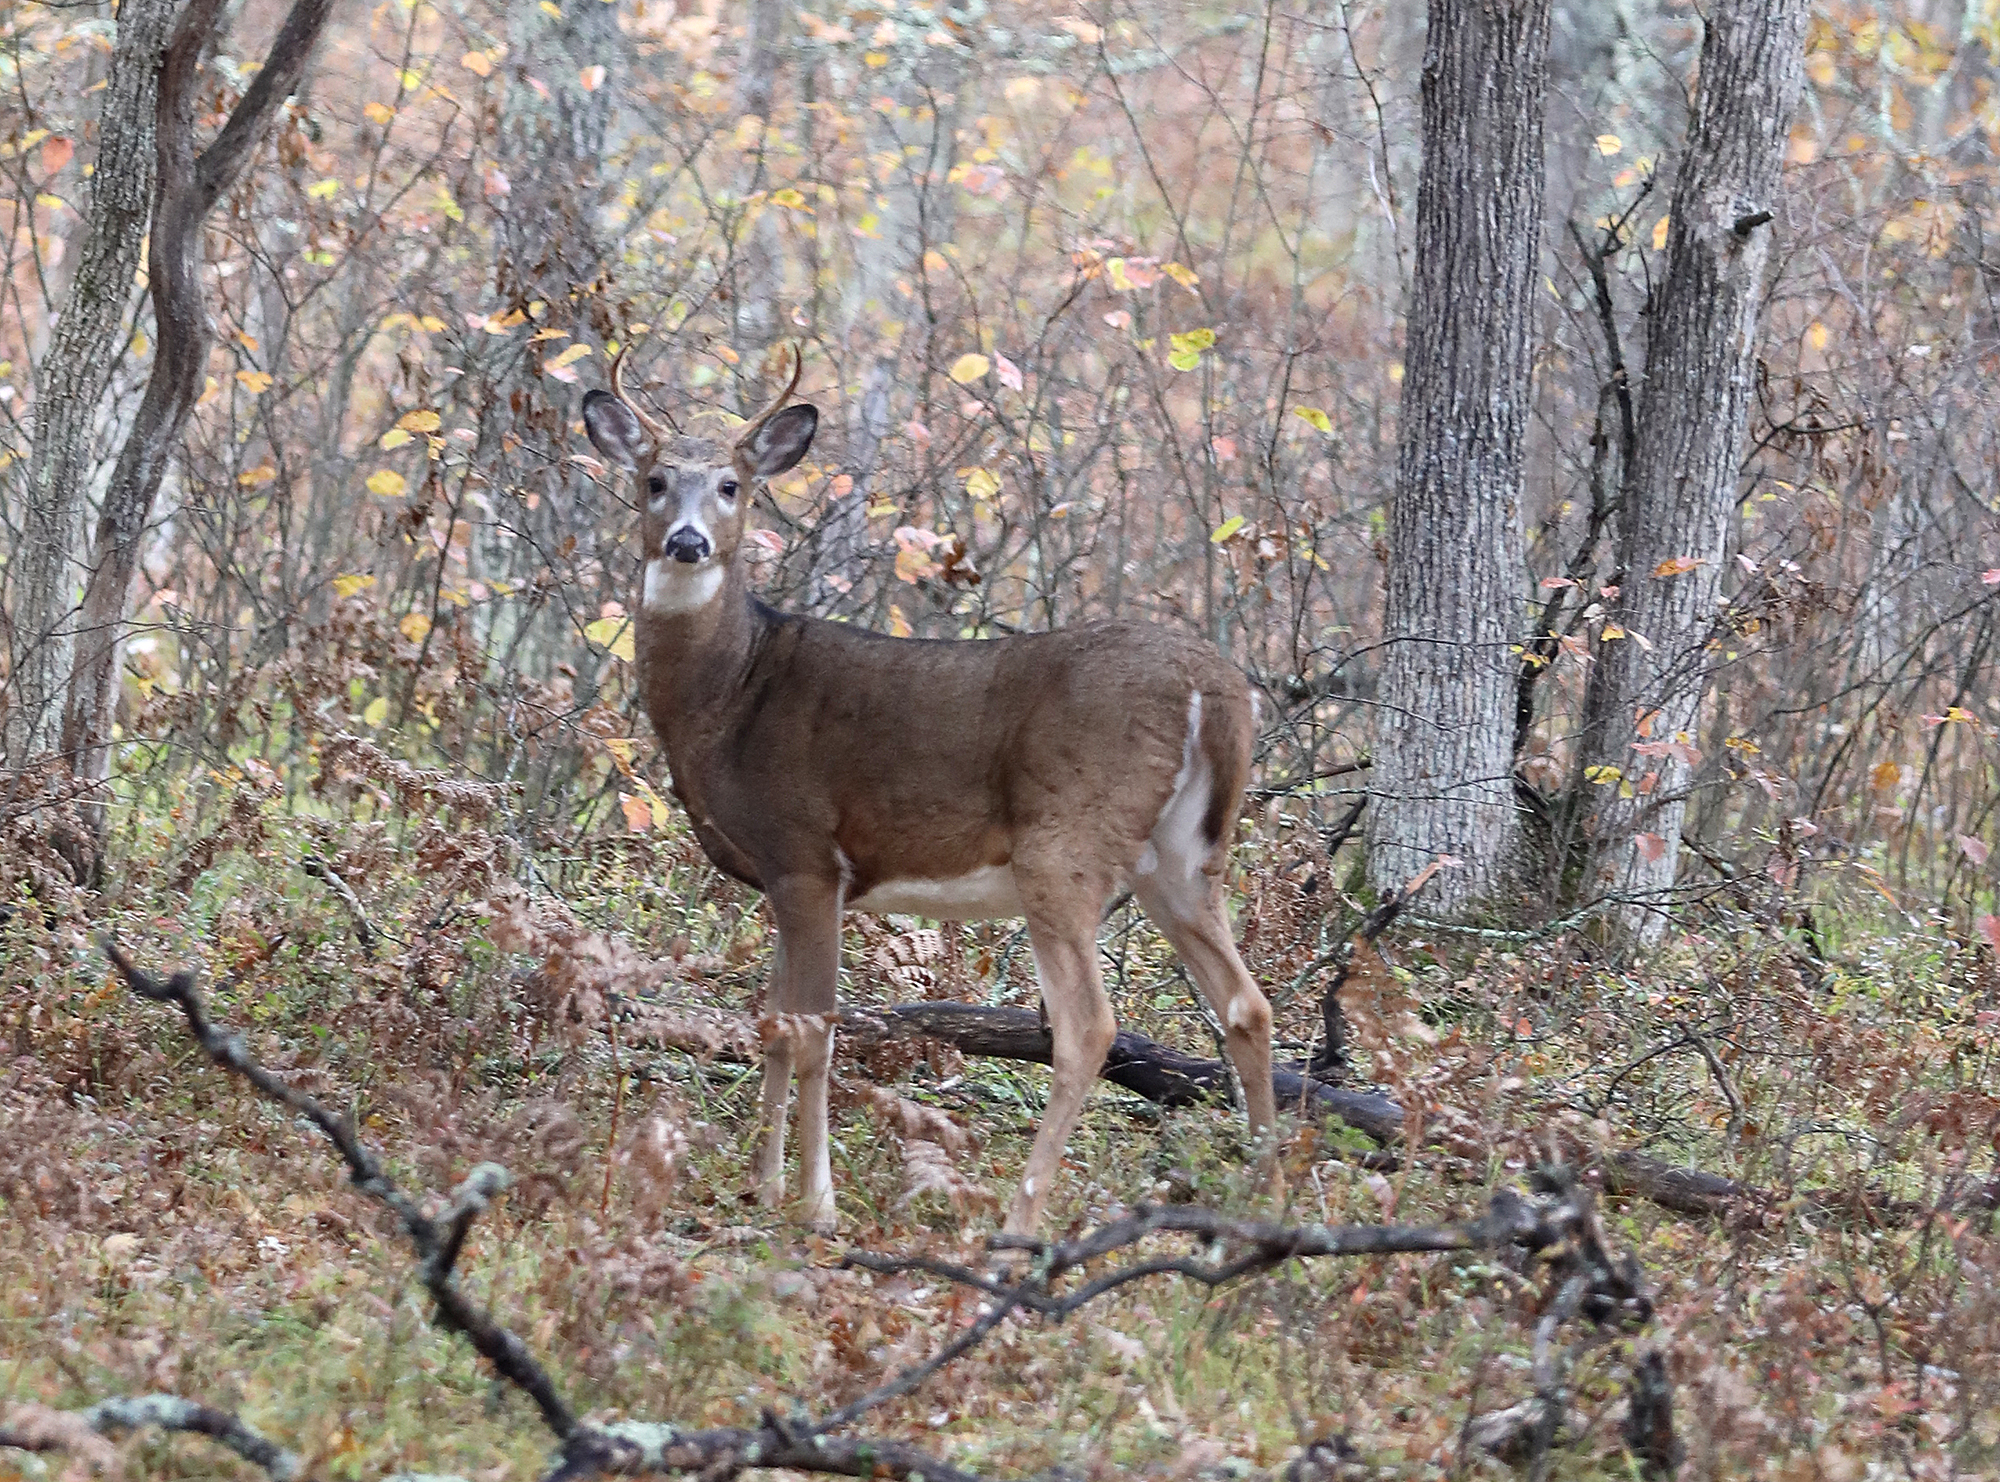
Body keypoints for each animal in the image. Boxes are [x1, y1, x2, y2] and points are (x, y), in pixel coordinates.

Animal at [580, 345, 1279, 1236]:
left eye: (732, 484)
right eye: (655, 480)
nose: (688, 541)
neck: (730, 693)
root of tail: (1214, 687)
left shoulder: (807, 853)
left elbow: (815, 1032)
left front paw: (816, 1205)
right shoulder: (783, 873)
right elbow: (773, 1022)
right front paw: (762, 1188)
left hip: (1066, 843)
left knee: (1089, 1026)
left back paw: (1019, 1222)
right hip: (1182, 858)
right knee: (1246, 1005)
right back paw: (1269, 1200)